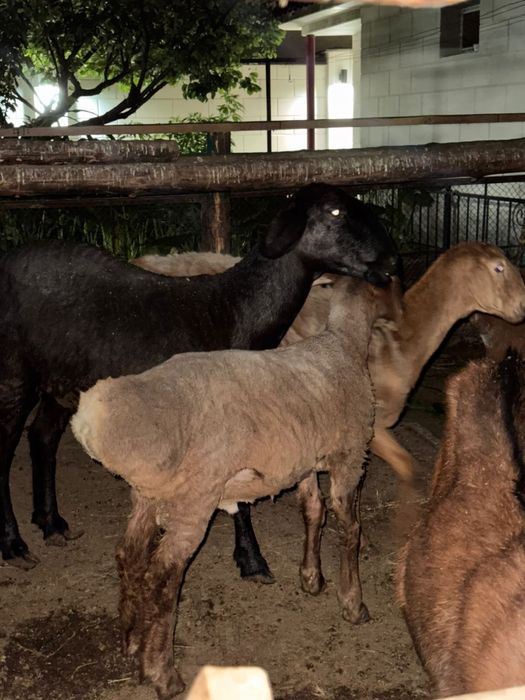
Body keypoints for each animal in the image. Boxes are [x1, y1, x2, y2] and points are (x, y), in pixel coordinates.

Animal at [0, 183, 398, 571]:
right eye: (335, 211)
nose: (393, 261)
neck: (234, 310)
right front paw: (252, 559)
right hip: (12, 373)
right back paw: (14, 544)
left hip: (62, 379)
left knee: (42, 437)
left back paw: (51, 523)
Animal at [71, 276, 395, 699]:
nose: (397, 317)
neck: (343, 343)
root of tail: (96, 420)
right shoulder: (350, 456)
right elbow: (350, 529)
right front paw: (353, 603)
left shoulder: (303, 458)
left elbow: (313, 511)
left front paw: (311, 578)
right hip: (195, 495)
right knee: (163, 576)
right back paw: (162, 672)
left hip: (148, 493)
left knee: (129, 555)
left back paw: (131, 641)